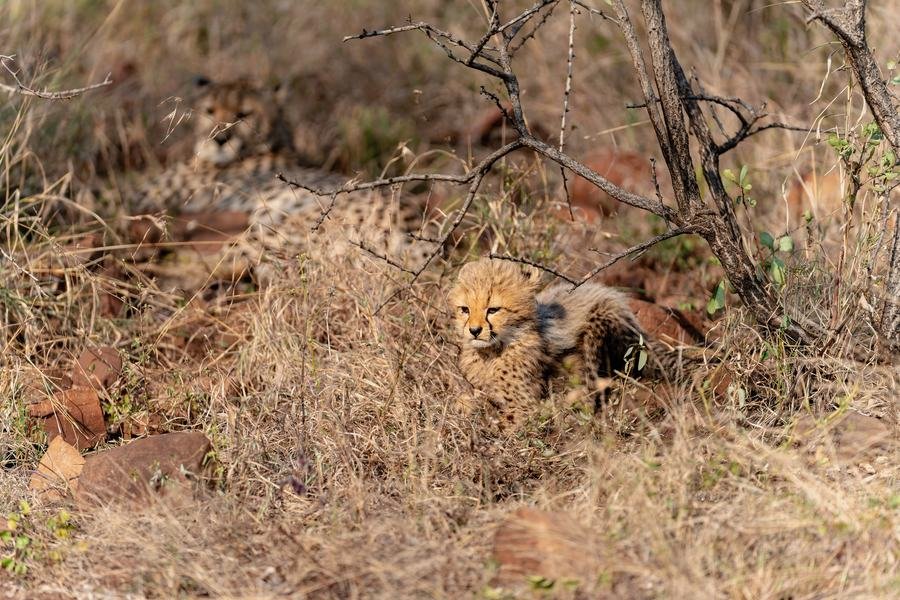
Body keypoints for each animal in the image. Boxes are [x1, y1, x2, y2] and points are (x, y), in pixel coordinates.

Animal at [449, 258, 698, 428]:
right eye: (465, 310)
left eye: (493, 309)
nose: (474, 331)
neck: (493, 351)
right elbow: (465, 398)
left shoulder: (523, 404)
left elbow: (502, 421)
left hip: (599, 322)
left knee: (590, 390)